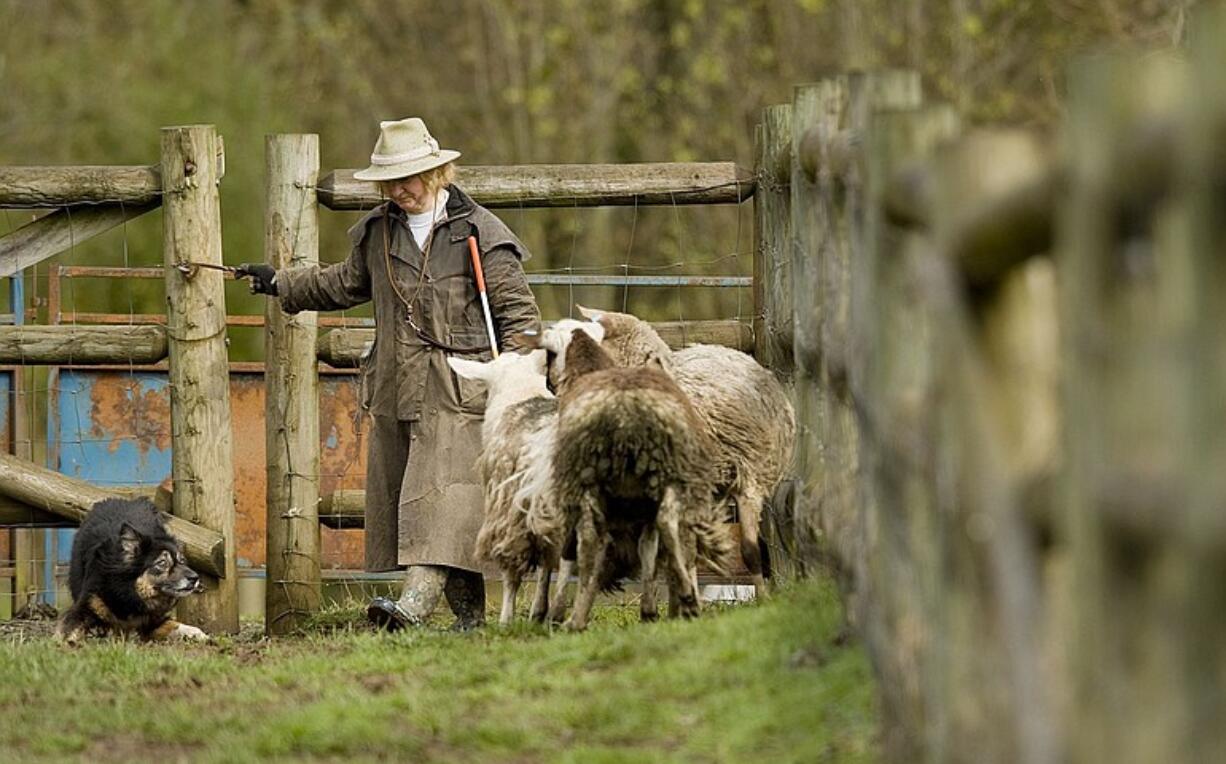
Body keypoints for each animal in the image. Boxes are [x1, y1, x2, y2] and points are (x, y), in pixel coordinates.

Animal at [55, 495, 207, 647]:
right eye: (162, 563)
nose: (195, 578)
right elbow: (69, 630)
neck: (129, 592)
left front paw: (198, 634)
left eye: (182, 561)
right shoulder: (85, 606)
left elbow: (175, 625)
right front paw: (62, 643)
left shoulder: (152, 620)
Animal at [448, 350, 566, 625]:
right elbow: (546, 564)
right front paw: (538, 610)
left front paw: (506, 620)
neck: (521, 392)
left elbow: (513, 574)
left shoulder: (510, 508)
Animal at [534, 318, 725, 632]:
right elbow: (647, 551)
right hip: (670, 475)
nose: (548, 384)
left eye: (550, 355)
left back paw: (575, 620)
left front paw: (556, 614)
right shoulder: (639, 509)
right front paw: (649, 611)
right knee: (671, 527)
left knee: (590, 544)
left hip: (589, 479)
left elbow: (569, 553)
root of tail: (629, 409)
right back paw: (687, 598)